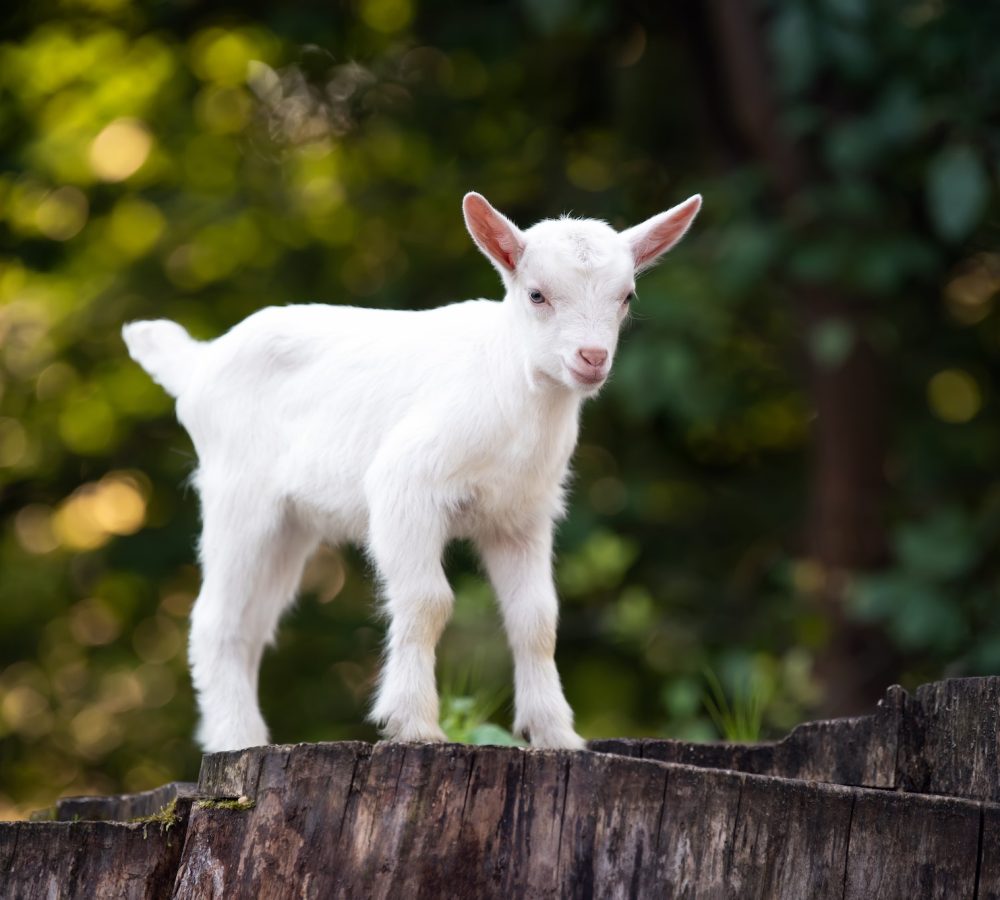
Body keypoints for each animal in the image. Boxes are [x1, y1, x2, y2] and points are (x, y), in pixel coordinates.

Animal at [122, 191, 702, 751]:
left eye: (626, 297)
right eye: (536, 295)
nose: (592, 357)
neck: (510, 388)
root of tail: (197, 363)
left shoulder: (522, 515)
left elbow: (537, 619)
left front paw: (556, 735)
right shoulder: (406, 486)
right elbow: (428, 602)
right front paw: (414, 724)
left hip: (292, 525)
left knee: (253, 625)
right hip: (239, 496)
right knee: (215, 621)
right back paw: (235, 740)